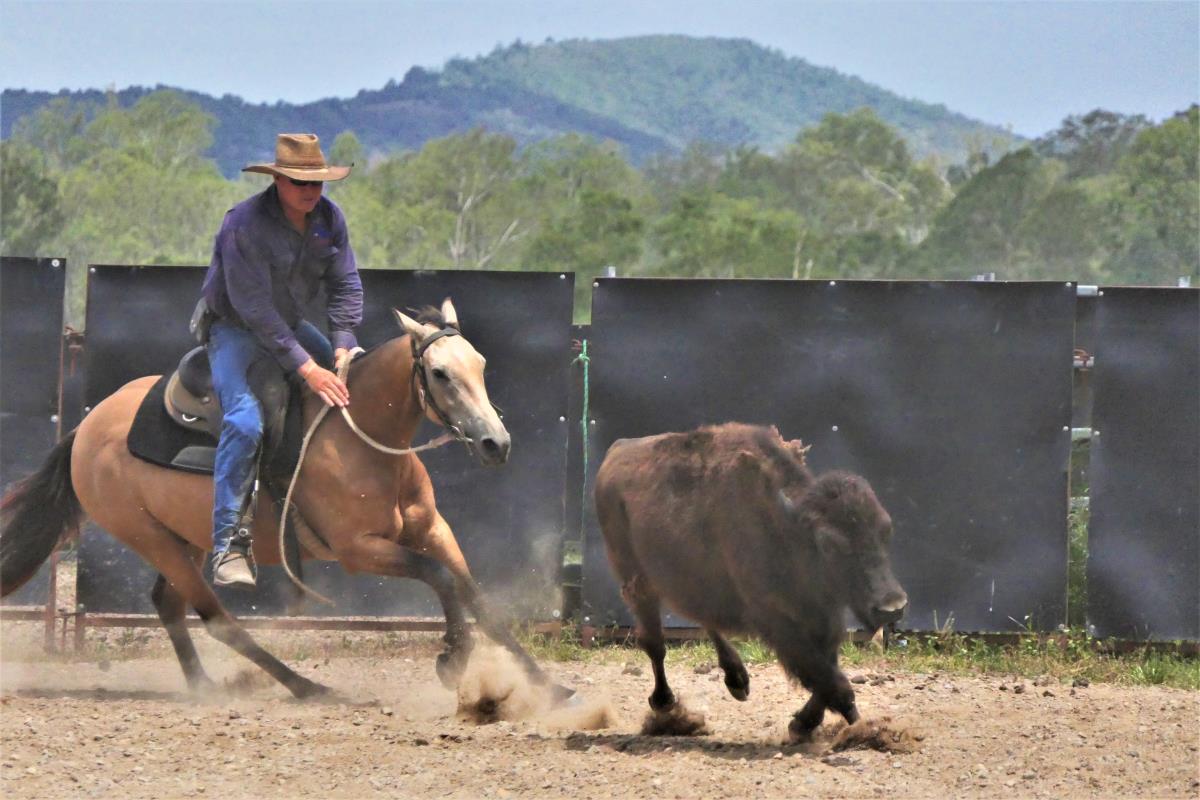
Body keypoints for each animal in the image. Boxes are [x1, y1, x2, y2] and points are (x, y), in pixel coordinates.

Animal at [0, 299, 570, 701]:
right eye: (439, 373)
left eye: (480, 364)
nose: (496, 443)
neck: (362, 437)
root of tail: (87, 427)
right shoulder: (358, 549)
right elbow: (441, 578)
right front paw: (452, 660)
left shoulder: (433, 528)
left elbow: (478, 599)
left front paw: (550, 687)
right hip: (147, 536)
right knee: (214, 618)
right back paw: (308, 687)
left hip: (189, 537)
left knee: (168, 605)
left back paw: (206, 687)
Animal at [593, 422, 907, 741]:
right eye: (830, 545)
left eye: (886, 530)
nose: (893, 607)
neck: (787, 527)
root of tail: (617, 449)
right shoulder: (773, 619)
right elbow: (826, 676)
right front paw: (860, 727)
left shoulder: (824, 618)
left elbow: (826, 670)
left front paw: (804, 723)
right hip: (635, 578)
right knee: (655, 643)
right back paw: (665, 702)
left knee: (704, 618)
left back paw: (737, 681)